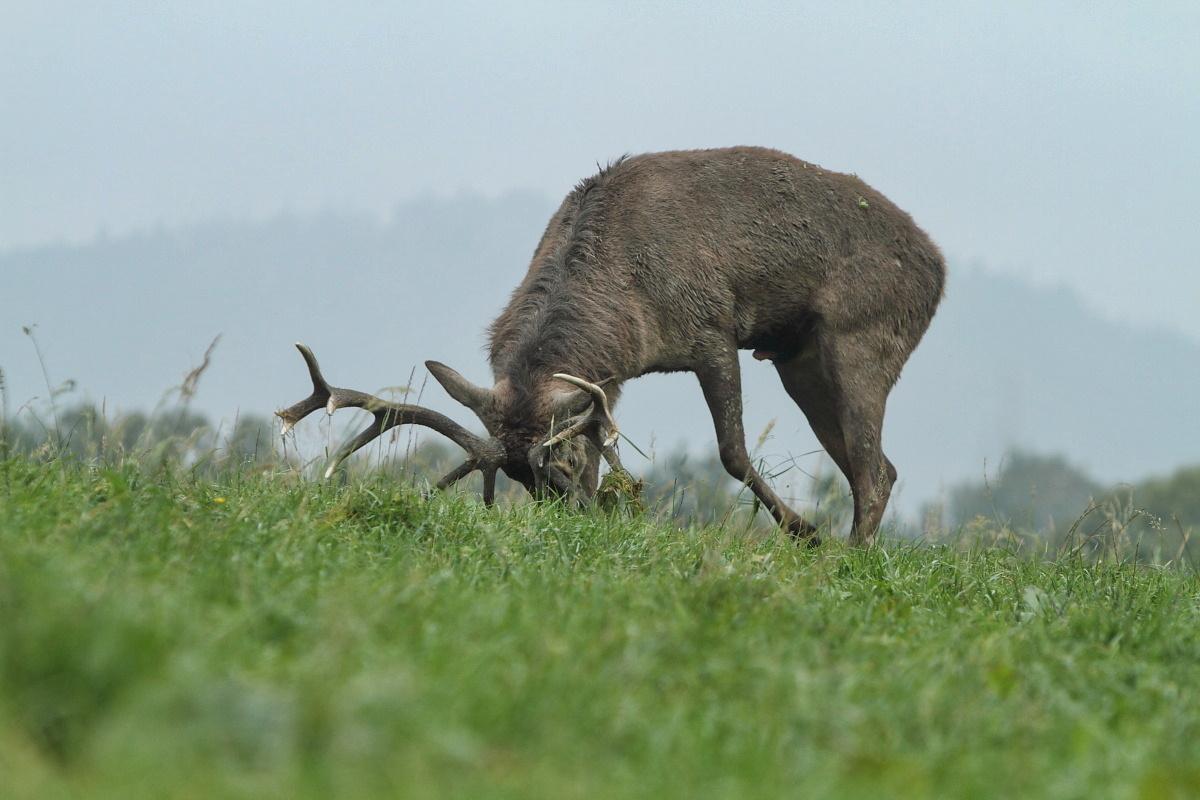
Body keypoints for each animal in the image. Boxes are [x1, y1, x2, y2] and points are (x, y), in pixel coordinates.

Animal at [276, 145, 940, 544]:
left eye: (562, 464)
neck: (628, 307)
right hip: (798, 361)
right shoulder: (609, 380)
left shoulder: (711, 328)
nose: (567, 517)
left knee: (874, 470)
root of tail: (939, 266)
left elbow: (732, 451)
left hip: (864, 337)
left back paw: (844, 554)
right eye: (518, 481)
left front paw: (803, 530)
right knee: (877, 466)